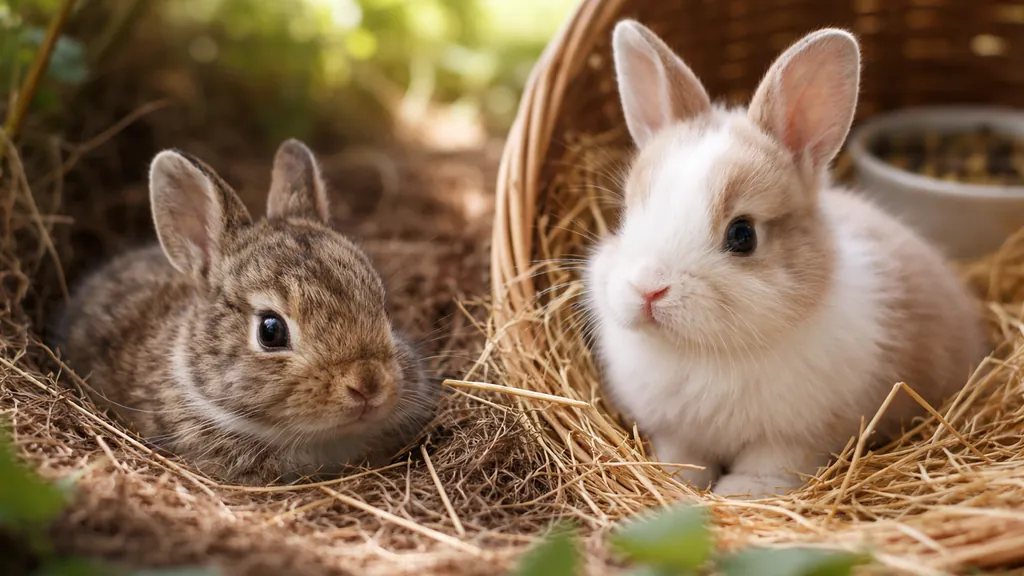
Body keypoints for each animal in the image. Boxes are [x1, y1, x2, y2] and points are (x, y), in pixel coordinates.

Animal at [585, 22, 990, 499]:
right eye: (627, 215)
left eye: (743, 235)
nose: (649, 289)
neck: (699, 352)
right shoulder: (676, 430)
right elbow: (684, 455)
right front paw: (677, 478)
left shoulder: (793, 439)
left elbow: (769, 465)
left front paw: (737, 493)